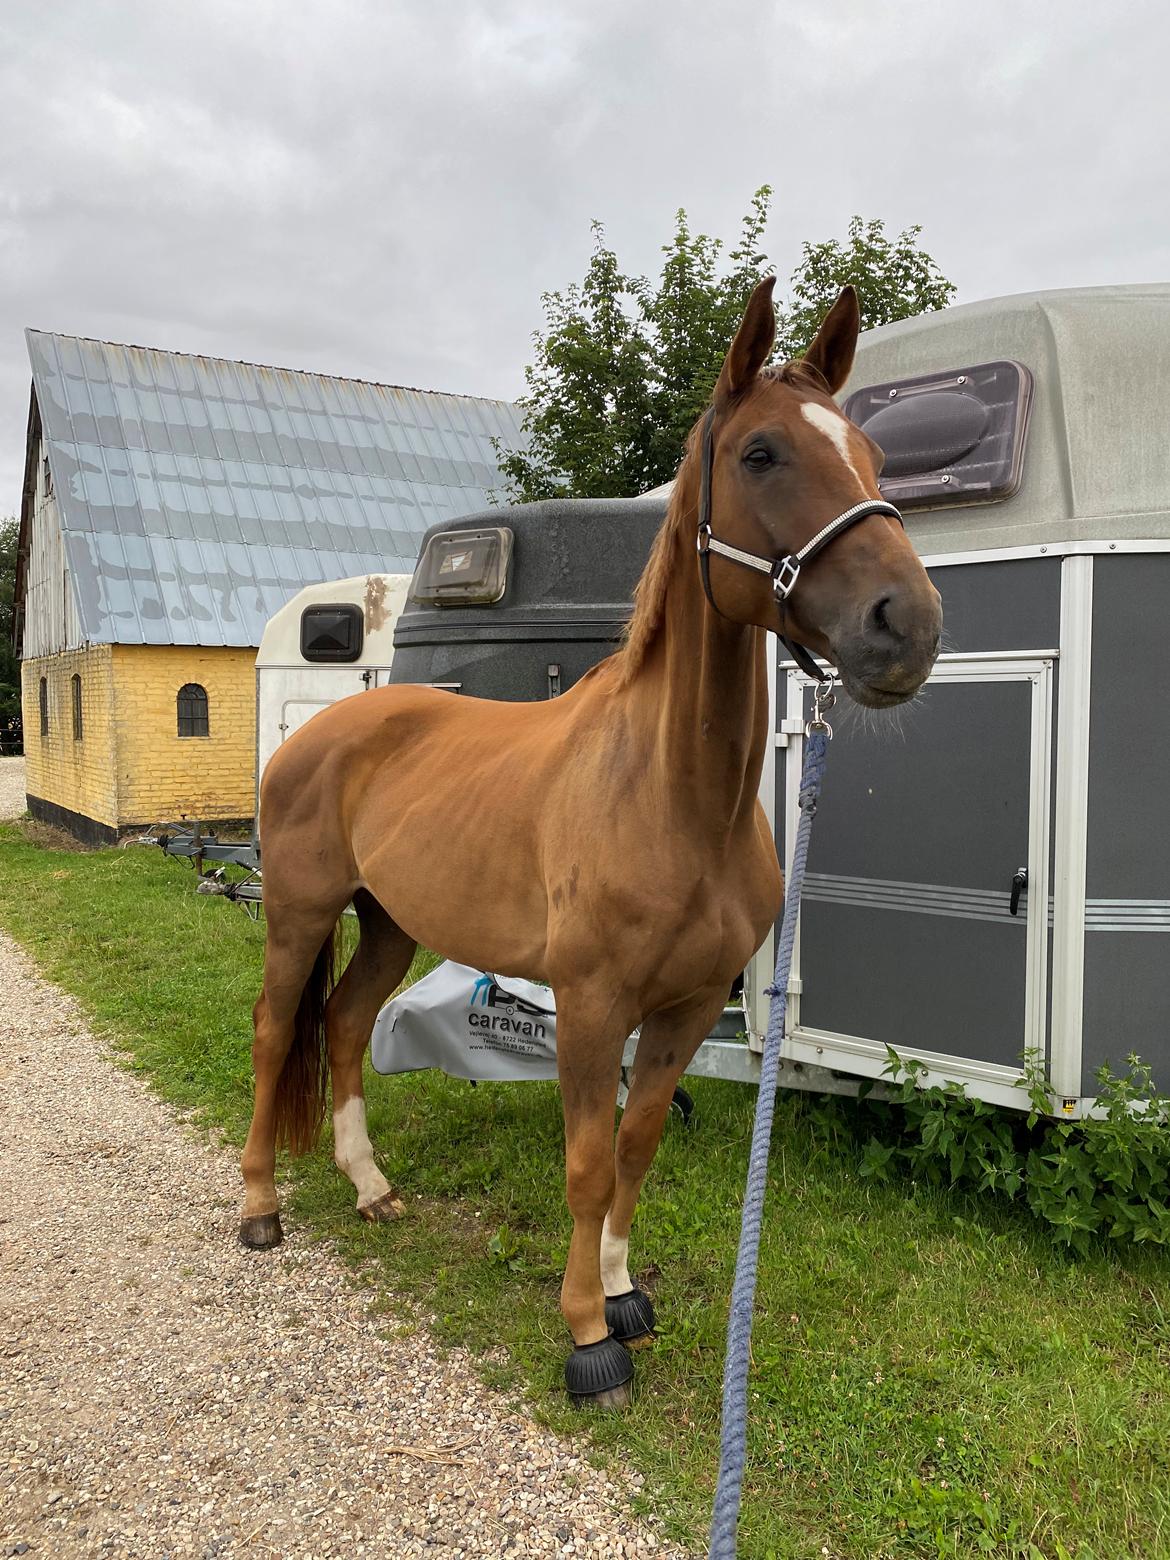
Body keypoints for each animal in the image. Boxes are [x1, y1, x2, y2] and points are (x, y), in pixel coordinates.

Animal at [240, 277, 942, 1404]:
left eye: (873, 455)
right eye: (761, 453)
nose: (906, 626)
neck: (671, 799)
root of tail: (325, 727)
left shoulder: (685, 1008)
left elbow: (637, 1147)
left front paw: (623, 1296)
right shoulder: (590, 1005)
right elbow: (586, 1162)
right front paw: (584, 1335)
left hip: (390, 923)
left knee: (343, 1025)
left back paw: (370, 1186)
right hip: (300, 912)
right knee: (274, 1032)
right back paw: (259, 1207)